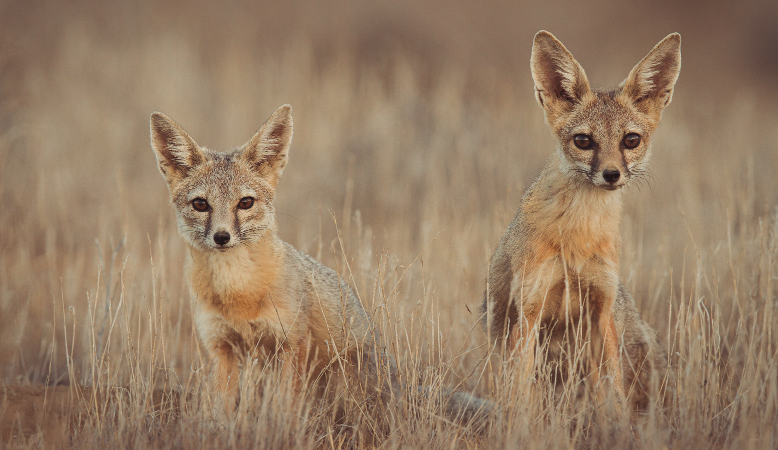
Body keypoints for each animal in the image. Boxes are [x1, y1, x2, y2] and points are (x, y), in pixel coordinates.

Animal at [150, 105, 488, 427]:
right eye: (200, 204)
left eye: (245, 203)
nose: (222, 237)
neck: (237, 292)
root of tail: (398, 387)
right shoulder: (222, 349)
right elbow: (221, 413)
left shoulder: (293, 344)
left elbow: (285, 409)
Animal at [481, 31, 681, 413]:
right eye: (584, 141)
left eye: (630, 140)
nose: (612, 174)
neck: (577, 236)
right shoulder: (529, 311)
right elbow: (521, 394)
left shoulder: (602, 310)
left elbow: (614, 392)